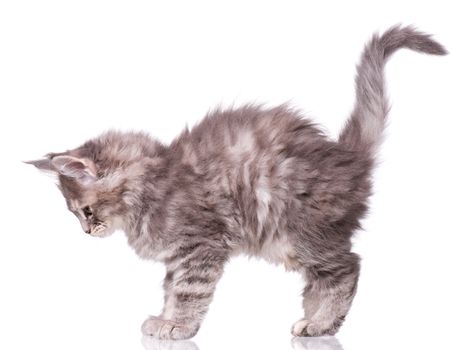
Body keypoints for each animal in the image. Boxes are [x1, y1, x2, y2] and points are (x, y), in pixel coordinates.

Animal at [26, 25, 446, 340]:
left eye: (85, 211)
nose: (85, 232)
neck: (150, 184)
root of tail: (347, 155)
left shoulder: (200, 245)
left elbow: (188, 291)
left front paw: (178, 326)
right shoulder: (178, 256)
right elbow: (170, 288)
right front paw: (164, 318)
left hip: (298, 233)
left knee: (348, 267)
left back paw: (322, 323)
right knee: (322, 278)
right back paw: (311, 318)